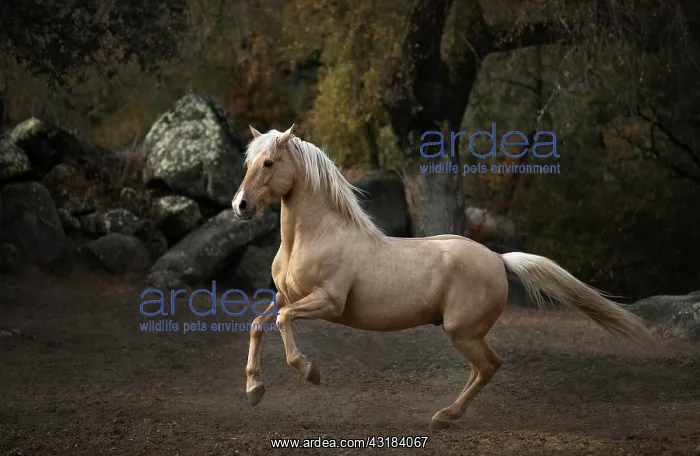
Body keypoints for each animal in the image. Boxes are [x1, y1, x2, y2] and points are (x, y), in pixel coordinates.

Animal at [232, 125, 655, 429]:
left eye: (269, 163)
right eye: (248, 163)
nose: (240, 206)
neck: (314, 236)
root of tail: (498, 258)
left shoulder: (328, 302)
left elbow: (283, 322)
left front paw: (310, 372)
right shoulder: (286, 297)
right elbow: (258, 324)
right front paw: (254, 390)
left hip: (462, 331)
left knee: (490, 366)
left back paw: (445, 417)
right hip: (465, 333)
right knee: (481, 369)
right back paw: (444, 416)